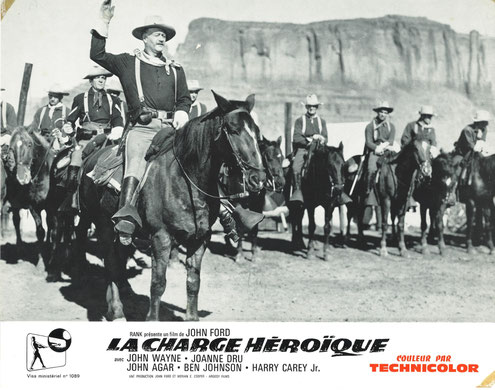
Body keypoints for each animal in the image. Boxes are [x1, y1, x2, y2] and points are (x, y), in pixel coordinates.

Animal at [73, 93, 266, 322]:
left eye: (257, 133)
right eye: (234, 130)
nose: (258, 179)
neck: (186, 180)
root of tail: (90, 159)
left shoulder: (199, 240)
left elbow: (193, 282)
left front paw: (192, 318)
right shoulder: (161, 238)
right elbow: (158, 284)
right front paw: (152, 319)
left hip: (120, 233)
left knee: (117, 262)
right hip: (102, 225)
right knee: (110, 263)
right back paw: (117, 311)